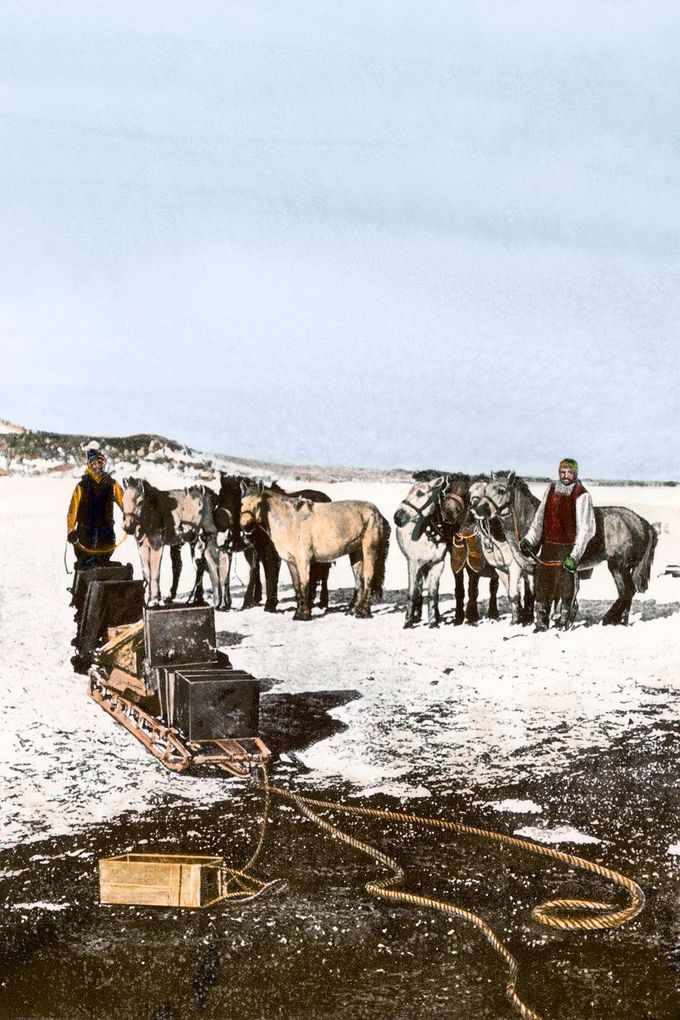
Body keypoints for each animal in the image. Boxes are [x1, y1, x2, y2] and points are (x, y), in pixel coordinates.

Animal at [120, 475, 230, 607]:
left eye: (140, 502)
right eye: (123, 500)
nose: (127, 527)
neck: (151, 513)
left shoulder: (157, 545)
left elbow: (155, 572)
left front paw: (154, 600)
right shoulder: (141, 546)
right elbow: (146, 571)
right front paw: (149, 599)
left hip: (202, 540)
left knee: (208, 562)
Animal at [213, 471, 330, 607]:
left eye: (235, 499)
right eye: (220, 497)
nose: (220, 522)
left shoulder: (268, 550)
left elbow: (266, 571)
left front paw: (264, 602)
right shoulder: (259, 549)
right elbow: (263, 571)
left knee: (324, 573)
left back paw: (323, 600)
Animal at [240, 485, 391, 620]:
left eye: (258, 503)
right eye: (242, 502)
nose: (245, 526)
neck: (290, 521)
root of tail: (378, 514)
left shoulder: (303, 560)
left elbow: (304, 584)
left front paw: (303, 615)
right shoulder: (291, 562)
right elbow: (297, 587)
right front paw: (298, 613)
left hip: (369, 550)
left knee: (368, 577)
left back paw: (363, 612)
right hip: (356, 553)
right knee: (359, 580)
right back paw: (354, 610)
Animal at [393, 471, 499, 628]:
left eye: (420, 493)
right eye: (444, 492)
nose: (398, 517)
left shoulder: (439, 563)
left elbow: (433, 593)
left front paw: (433, 622)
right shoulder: (413, 563)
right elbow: (413, 592)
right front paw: (408, 622)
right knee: (418, 587)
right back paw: (417, 616)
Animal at [471, 471, 656, 628]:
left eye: (501, 490)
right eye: (486, 489)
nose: (478, 510)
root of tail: (643, 522)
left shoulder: (539, 569)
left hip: (618, 566)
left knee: (626, 592)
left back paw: (610, 619)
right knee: (628, 593)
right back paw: (621, 621)